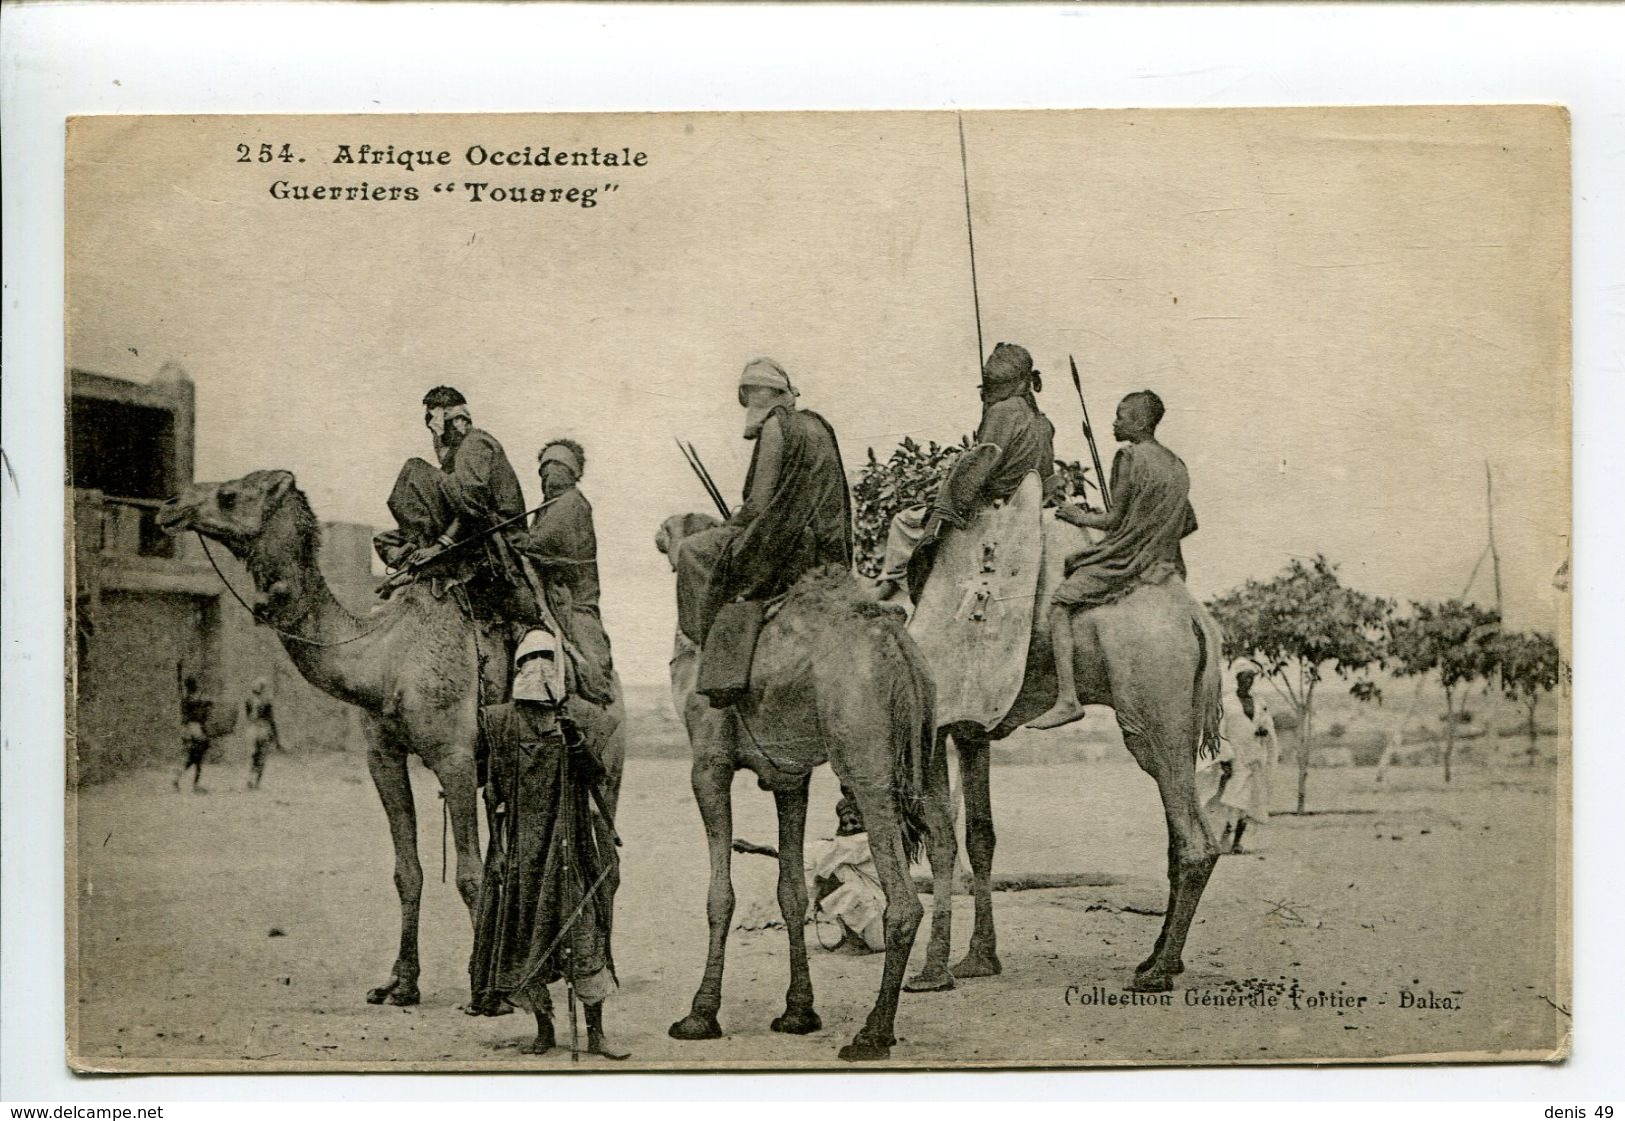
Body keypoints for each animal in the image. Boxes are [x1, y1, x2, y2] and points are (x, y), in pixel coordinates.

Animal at [161, 467, 624, 1007]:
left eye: (229, 495)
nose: (169, 506)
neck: (384, 660)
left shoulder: (453, 757)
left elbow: (470, 874)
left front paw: (486, 993)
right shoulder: (383, 756)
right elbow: (408, 871)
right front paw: (400, 983)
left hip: (605, 760)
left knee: (605, 857)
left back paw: (598, 969)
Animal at [653, 513, 955, 1059]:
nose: (659, 537)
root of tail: (898, 648)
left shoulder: (707, 764)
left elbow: (719, 895)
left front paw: (700, 1014)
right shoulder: (790, 778)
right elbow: (791, 890)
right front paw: (798, 1011)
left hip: (865, 759)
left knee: (902, 901)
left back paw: (873, 1033)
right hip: (924, 749)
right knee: (940, 836)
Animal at [903, 519, 1222, 994]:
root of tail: (1196, 618)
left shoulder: (936, 722)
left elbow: (941, 840)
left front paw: (932, 971)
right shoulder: (971, 727)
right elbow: (980, 837)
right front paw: (979, 959)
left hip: (1153, 703)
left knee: (1193, 839)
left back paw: (1160, 971)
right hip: (1180, 713)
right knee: (1181, 834)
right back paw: (1155, 959)